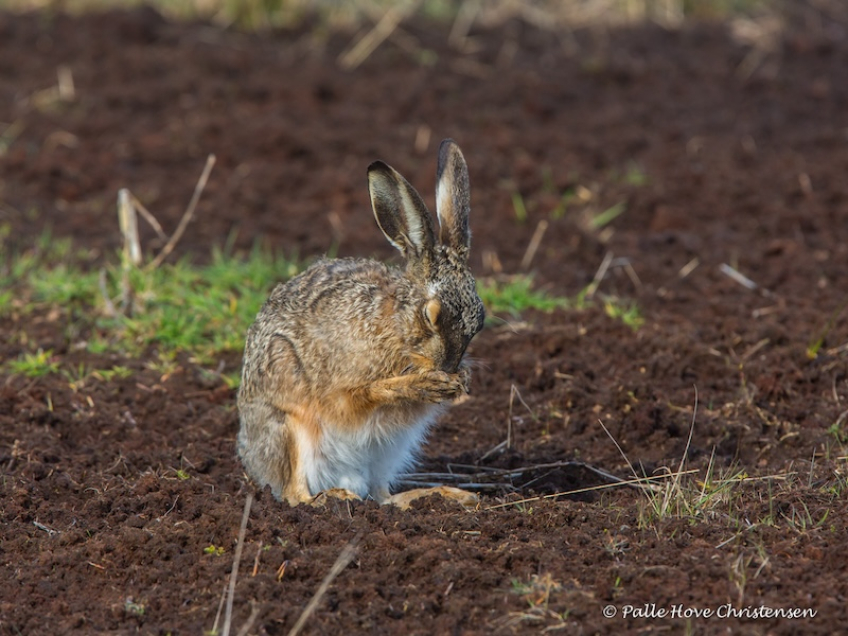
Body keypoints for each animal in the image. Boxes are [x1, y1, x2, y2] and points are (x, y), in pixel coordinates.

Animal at [237, 139, 485, 509]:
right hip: (289, 427)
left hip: (386, 452)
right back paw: (334, 497)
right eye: (431, 316)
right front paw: (421, 384)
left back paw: (444, 495)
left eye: (479, 319)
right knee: (295, 494)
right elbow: (362, 395)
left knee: (383, 497)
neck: (397, 327)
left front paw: (460, 380)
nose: (449, 366)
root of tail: (252, 459)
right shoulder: (341, 387)